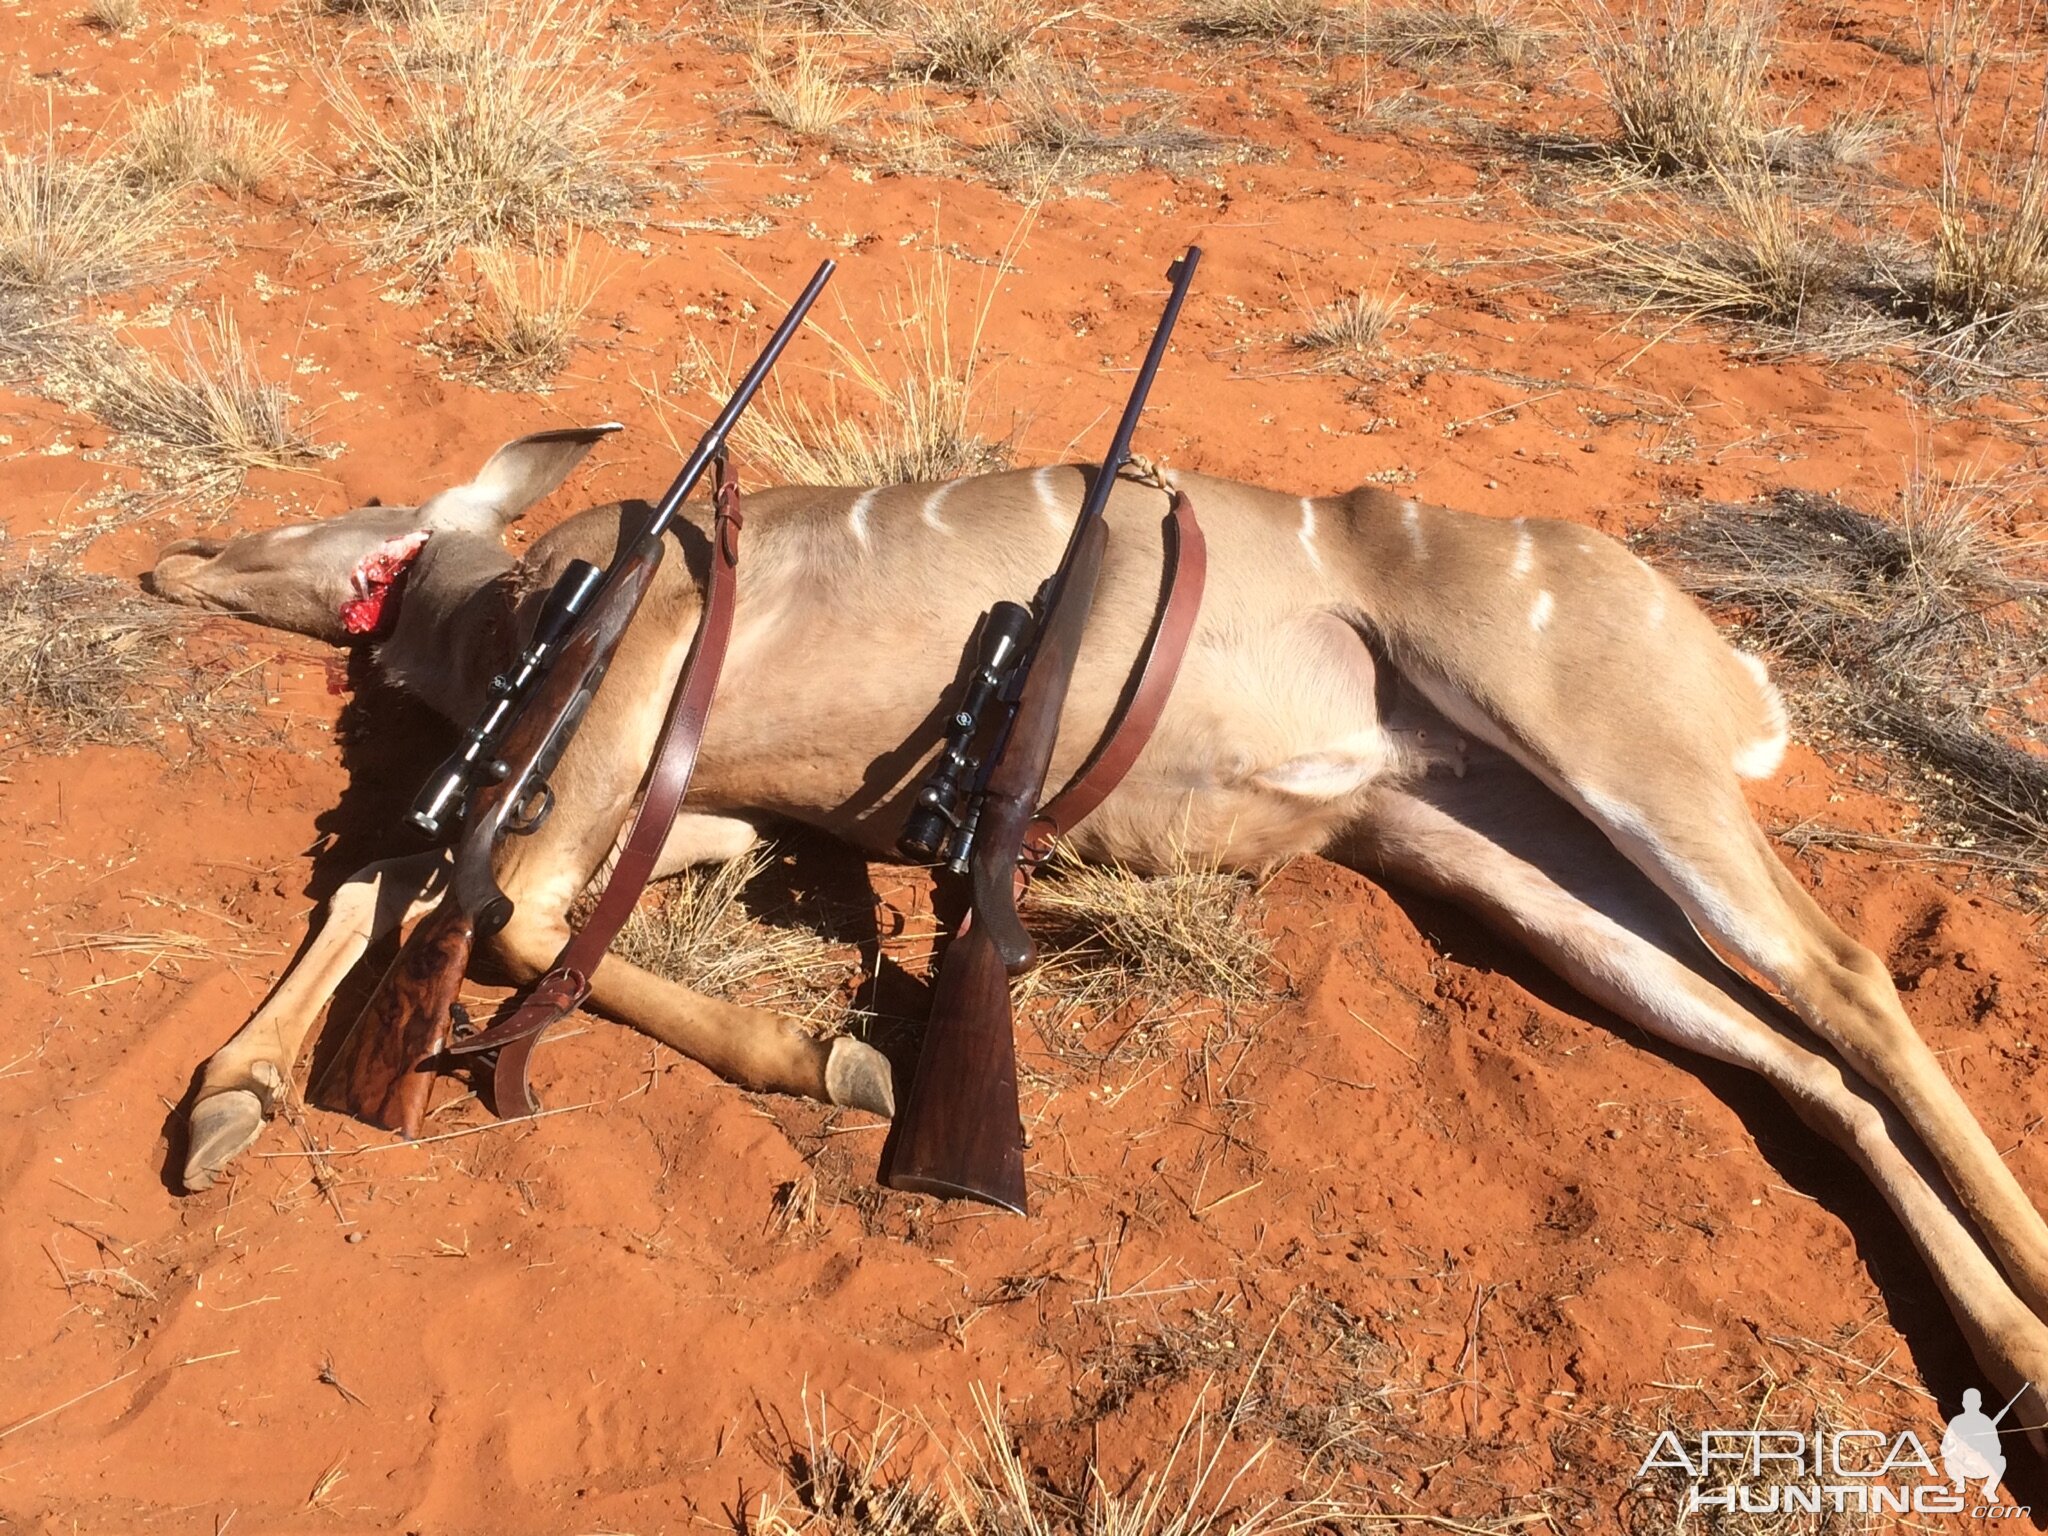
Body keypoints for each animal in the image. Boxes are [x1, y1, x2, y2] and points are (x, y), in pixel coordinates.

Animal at [155, 421, 2048, 1433]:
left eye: (327, 519)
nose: (176, 560)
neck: (504, 617)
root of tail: (1724, 664)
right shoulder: (709, 804)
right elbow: (412, 886)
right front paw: (224, 1105)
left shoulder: (634, 698)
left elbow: (484, 904)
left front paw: (826, 1054)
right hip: (1492, 852)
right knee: (1800, 1067)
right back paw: (2012, 1360)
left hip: (1614, 754)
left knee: (1846, 975)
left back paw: (2028, 1339)